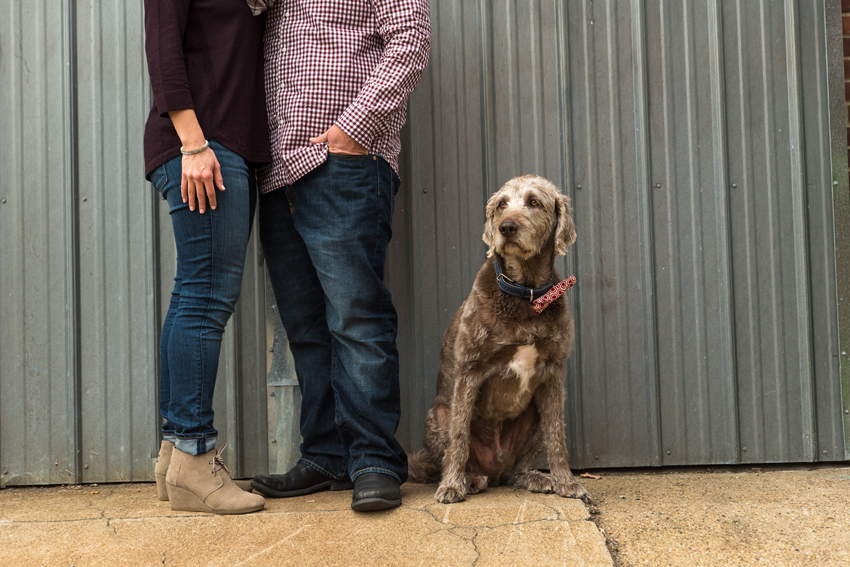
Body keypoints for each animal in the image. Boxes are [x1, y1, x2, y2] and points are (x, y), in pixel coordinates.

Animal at [408, 175, 588, 504]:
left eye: (534, 202)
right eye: (502, 204)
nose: (506, 227)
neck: (525, 294)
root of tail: (495, 468)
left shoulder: (553, 374)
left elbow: (558, 436)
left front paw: (566, 483)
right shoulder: (469, 370)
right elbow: (459, 437)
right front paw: (451, 486)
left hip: (533, 418)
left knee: (515, 469)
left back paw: (533, 477)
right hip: (438, 415)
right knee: (453, 450)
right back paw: (469, 479)